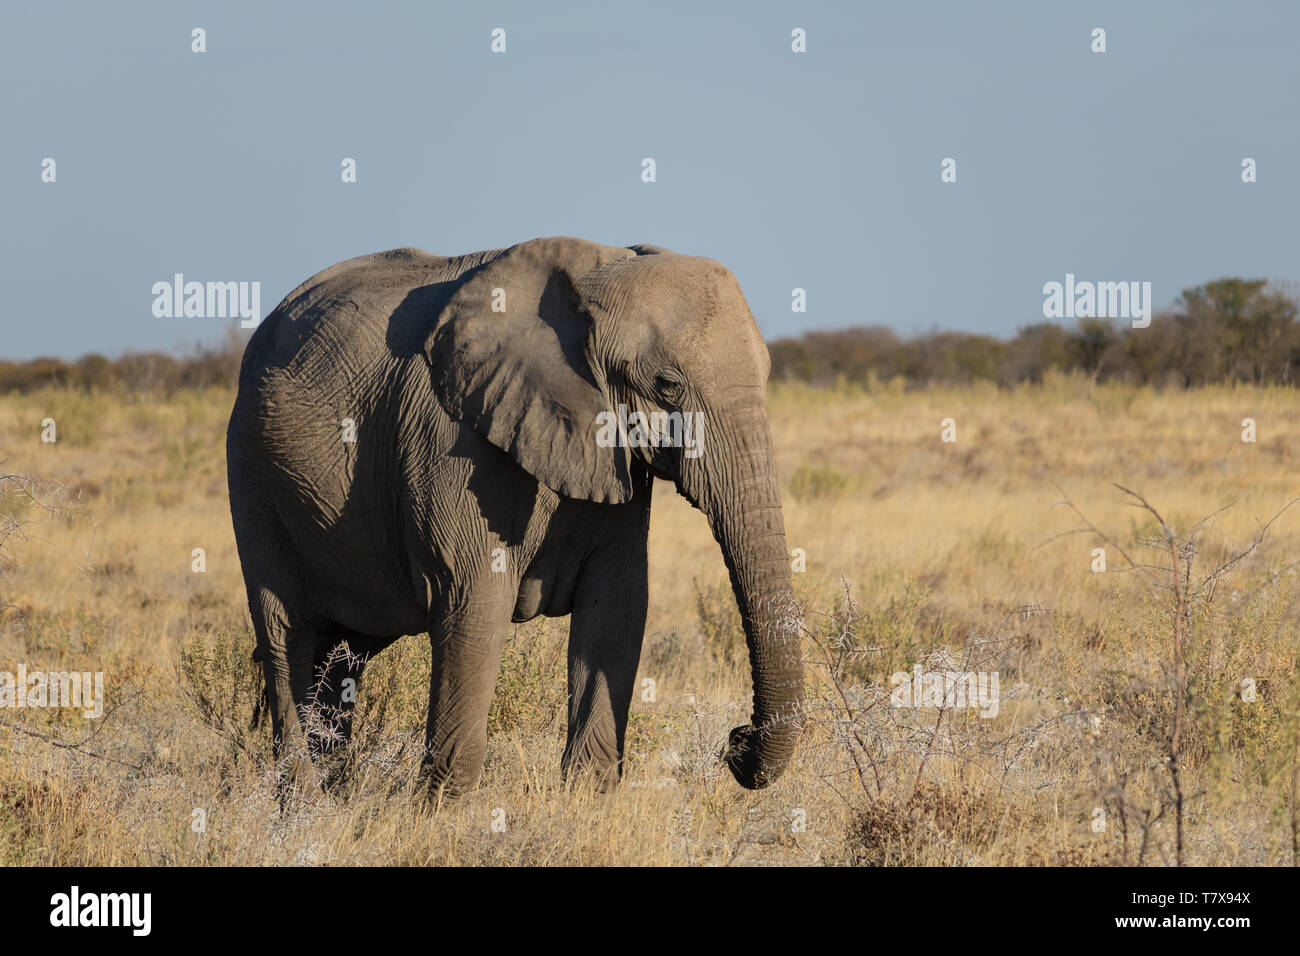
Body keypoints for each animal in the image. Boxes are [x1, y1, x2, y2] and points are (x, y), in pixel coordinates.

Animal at [228, 235, 806, 796]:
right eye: (667, 385)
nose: (736, 739)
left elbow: (617, 606)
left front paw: (586, 801)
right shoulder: (453, 438)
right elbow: (474, 600)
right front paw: (440, 810)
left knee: (343, 652)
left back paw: (334, 790)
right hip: (252, 476)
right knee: (287, 634)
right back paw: (304, 799)